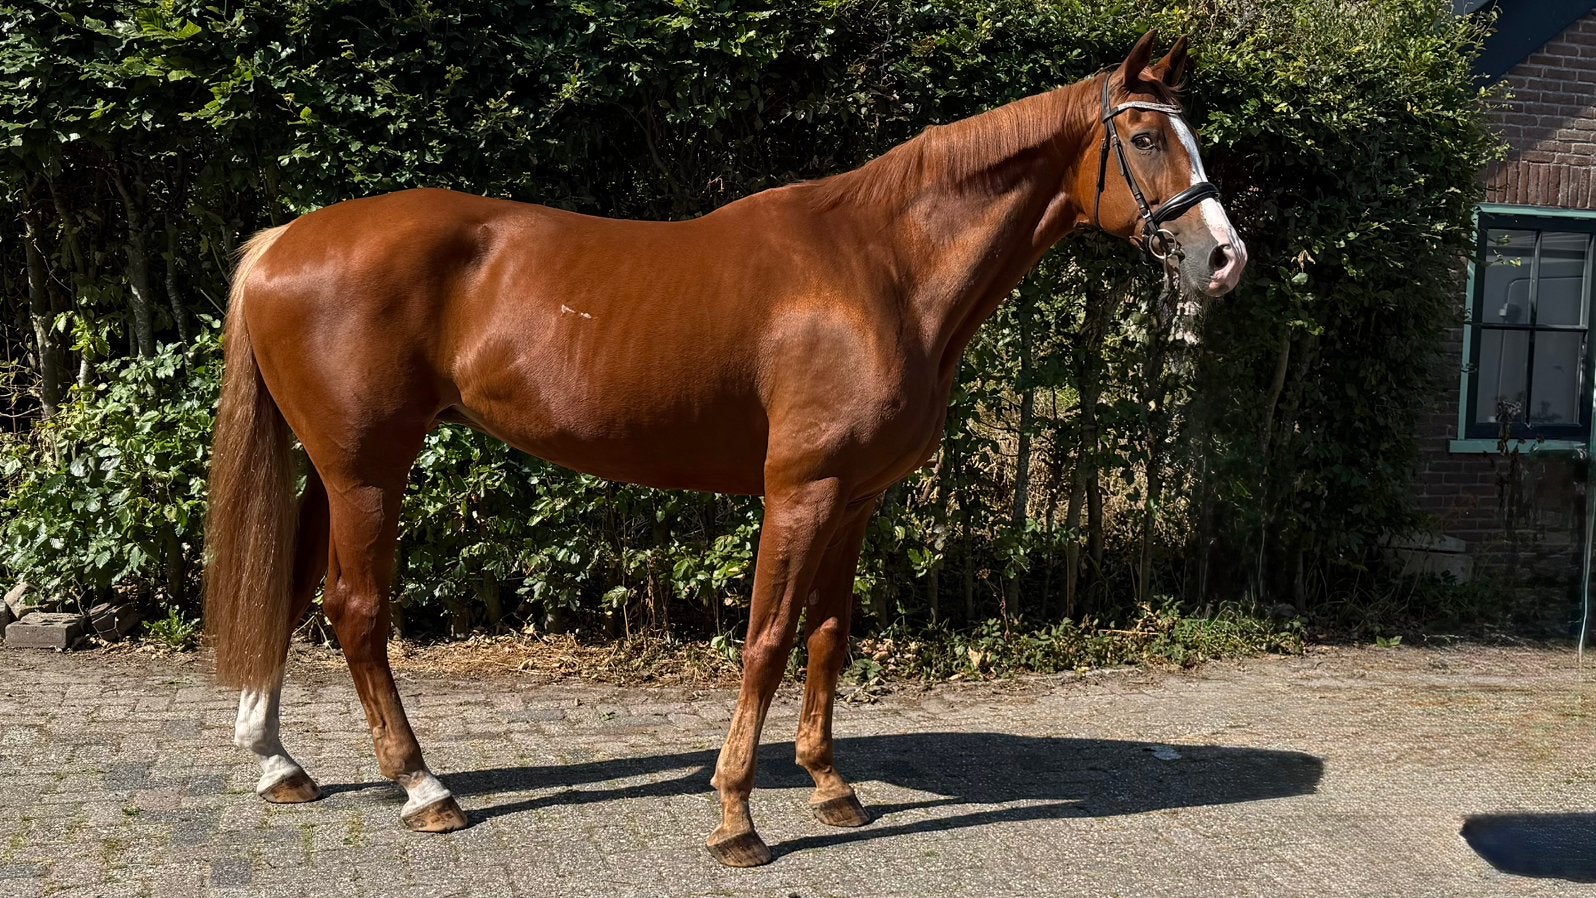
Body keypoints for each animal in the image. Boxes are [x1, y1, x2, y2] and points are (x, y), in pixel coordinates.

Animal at [203, 30, 1246, 867]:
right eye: (1145, 138)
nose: (1225, 258)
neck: (882, 269)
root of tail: (285, 240)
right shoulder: (801, 490)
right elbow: (766, 641)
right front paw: (738, 818)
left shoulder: (856, 497)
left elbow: (828, 635)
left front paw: (831, 789)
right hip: (368, 472)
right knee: (355, 612)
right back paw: (424, 788)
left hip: (331, 469)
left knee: (288, 590)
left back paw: (279, 764)